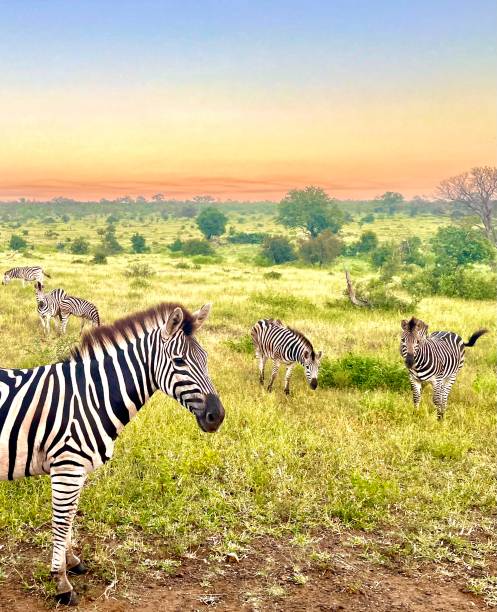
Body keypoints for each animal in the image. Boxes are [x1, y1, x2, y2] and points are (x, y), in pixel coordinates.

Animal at [0, 298, 223, 604]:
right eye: (179, 361)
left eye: (206, 359)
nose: (218, 416)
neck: (90, 397)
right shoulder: (67, 467)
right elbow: (62, 521)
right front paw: (61, 583)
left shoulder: (76, 470)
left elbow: (70, 516)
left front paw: (72, 562)